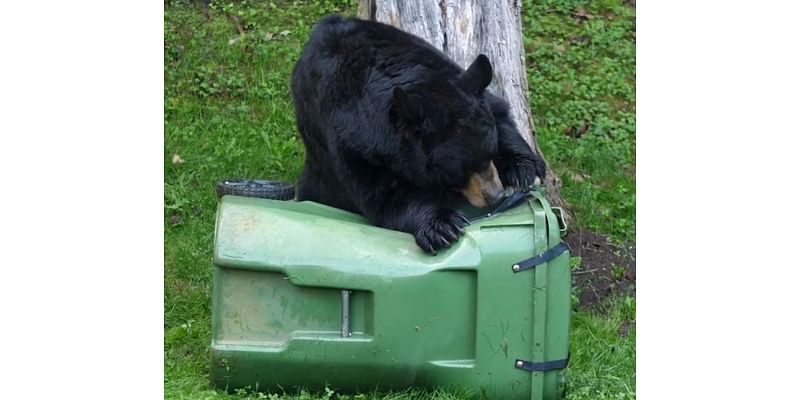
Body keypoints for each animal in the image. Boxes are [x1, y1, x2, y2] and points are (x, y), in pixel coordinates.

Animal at [290, 16, 548, 253]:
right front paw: (442, 226)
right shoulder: (351, 142)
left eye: (490, 153)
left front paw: (523, 169)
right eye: (458, 172)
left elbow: (500, 112)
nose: (494, 196)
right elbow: (384, 196)